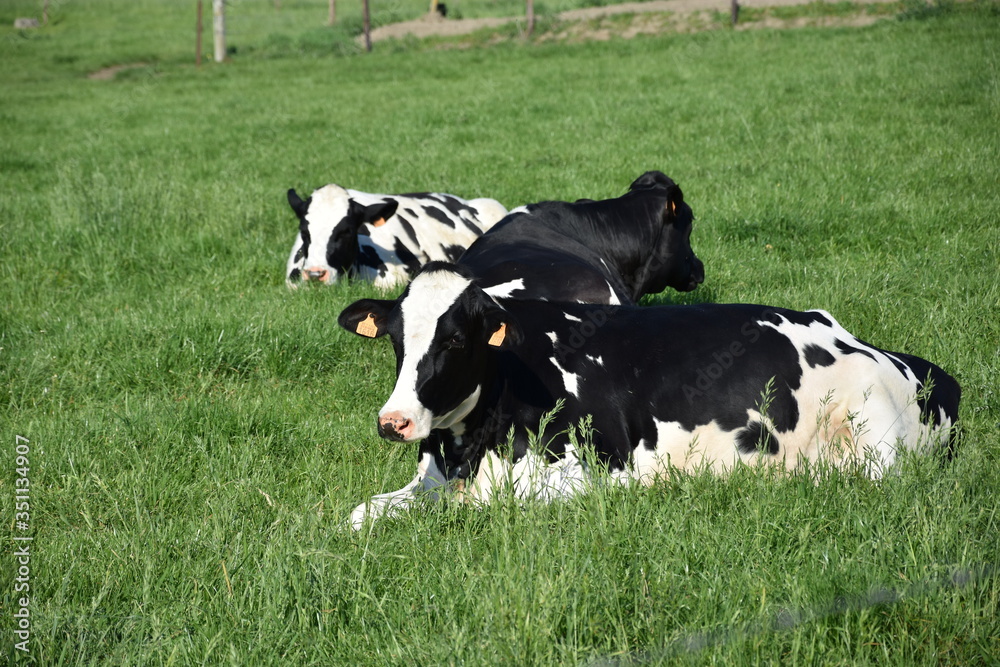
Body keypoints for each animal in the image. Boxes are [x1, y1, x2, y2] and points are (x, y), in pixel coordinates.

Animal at [338, 262, 960, 530]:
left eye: (455, 339)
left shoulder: (594, 474)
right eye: (396, 339)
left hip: (876, 444)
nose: (393, 421)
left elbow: (490, 504)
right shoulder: (431, 479)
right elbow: (360, 512)